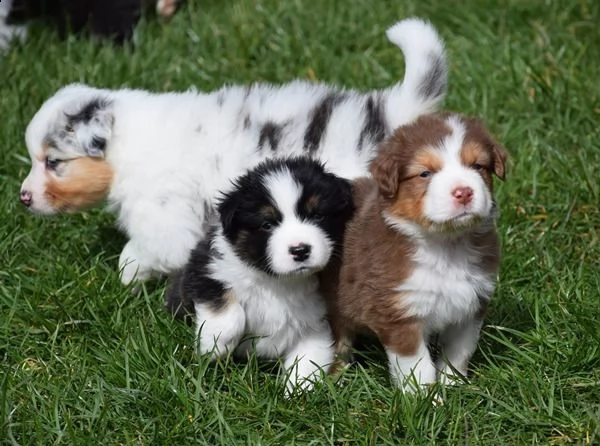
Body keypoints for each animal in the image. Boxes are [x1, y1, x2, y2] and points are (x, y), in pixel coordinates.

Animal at [18, 19, 448, 284]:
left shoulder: (163, 213)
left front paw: (127, 275)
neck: (126, 142)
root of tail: (391, 111)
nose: (23, 198)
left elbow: (145, 250)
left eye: (53, 162)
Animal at [164, 157, 354, 394]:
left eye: (318, 215)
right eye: (267, 224)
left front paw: (298, 390)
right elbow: (229, 313)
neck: (279, 282)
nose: (300, 250)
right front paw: (215, 346)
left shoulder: (317, 321)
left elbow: (310, 356)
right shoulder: (207, 269)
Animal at [326, 112, 508, 394]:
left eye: (478, 166)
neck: (445, 246)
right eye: (425, 173)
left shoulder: (470, 306)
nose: (464, 192)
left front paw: (453, 385)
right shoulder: (398, 314)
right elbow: (418, 366)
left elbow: (458, 352)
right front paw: (427, 399)